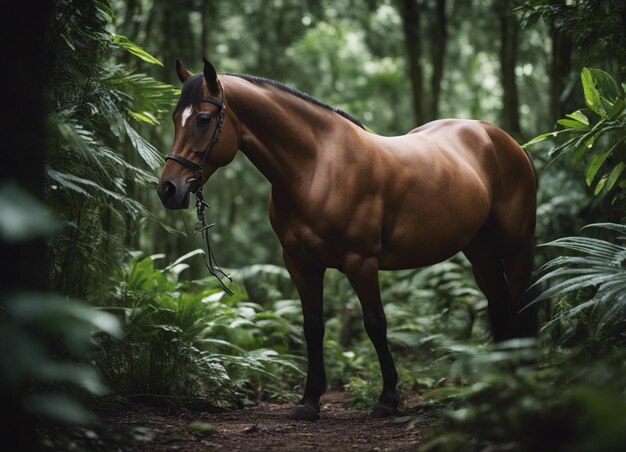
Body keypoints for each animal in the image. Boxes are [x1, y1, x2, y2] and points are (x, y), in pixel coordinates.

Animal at [157, 58, 536, 422]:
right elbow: (312, 327)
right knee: (498, 302)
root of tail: (502, 139)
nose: (168, 189)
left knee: (519, 302)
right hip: (479, 250)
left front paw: (387, 400)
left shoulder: (361, 261)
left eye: (203, 119)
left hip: (516, 248)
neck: (316, 167)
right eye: (175, 118)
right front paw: (310, 402)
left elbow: (375, 324)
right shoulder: (300, 263)